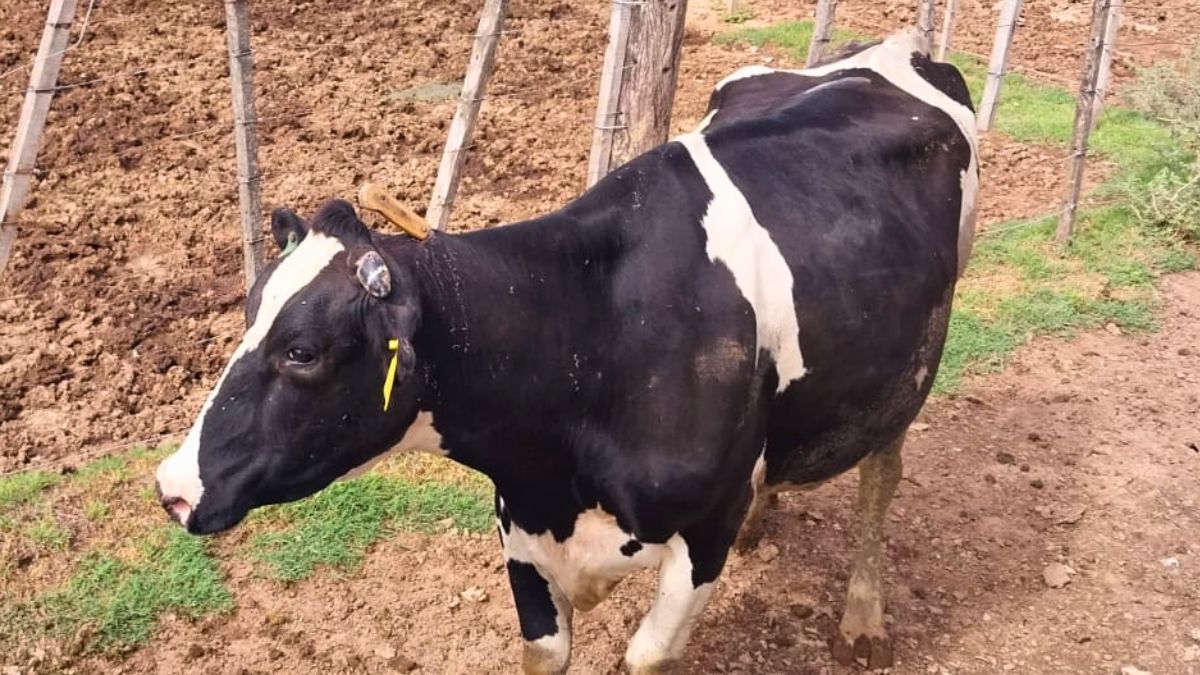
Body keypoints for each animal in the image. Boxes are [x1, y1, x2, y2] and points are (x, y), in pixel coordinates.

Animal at [154, 32, 974, 672]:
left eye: (302, 350)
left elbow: (647, 655)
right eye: (248, 312)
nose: (171, 487)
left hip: (913, 363)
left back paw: (863, 621)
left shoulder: (702, 531)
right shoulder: (521, 527)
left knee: (882, 474)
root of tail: (891, 47)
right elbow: (543, 648)